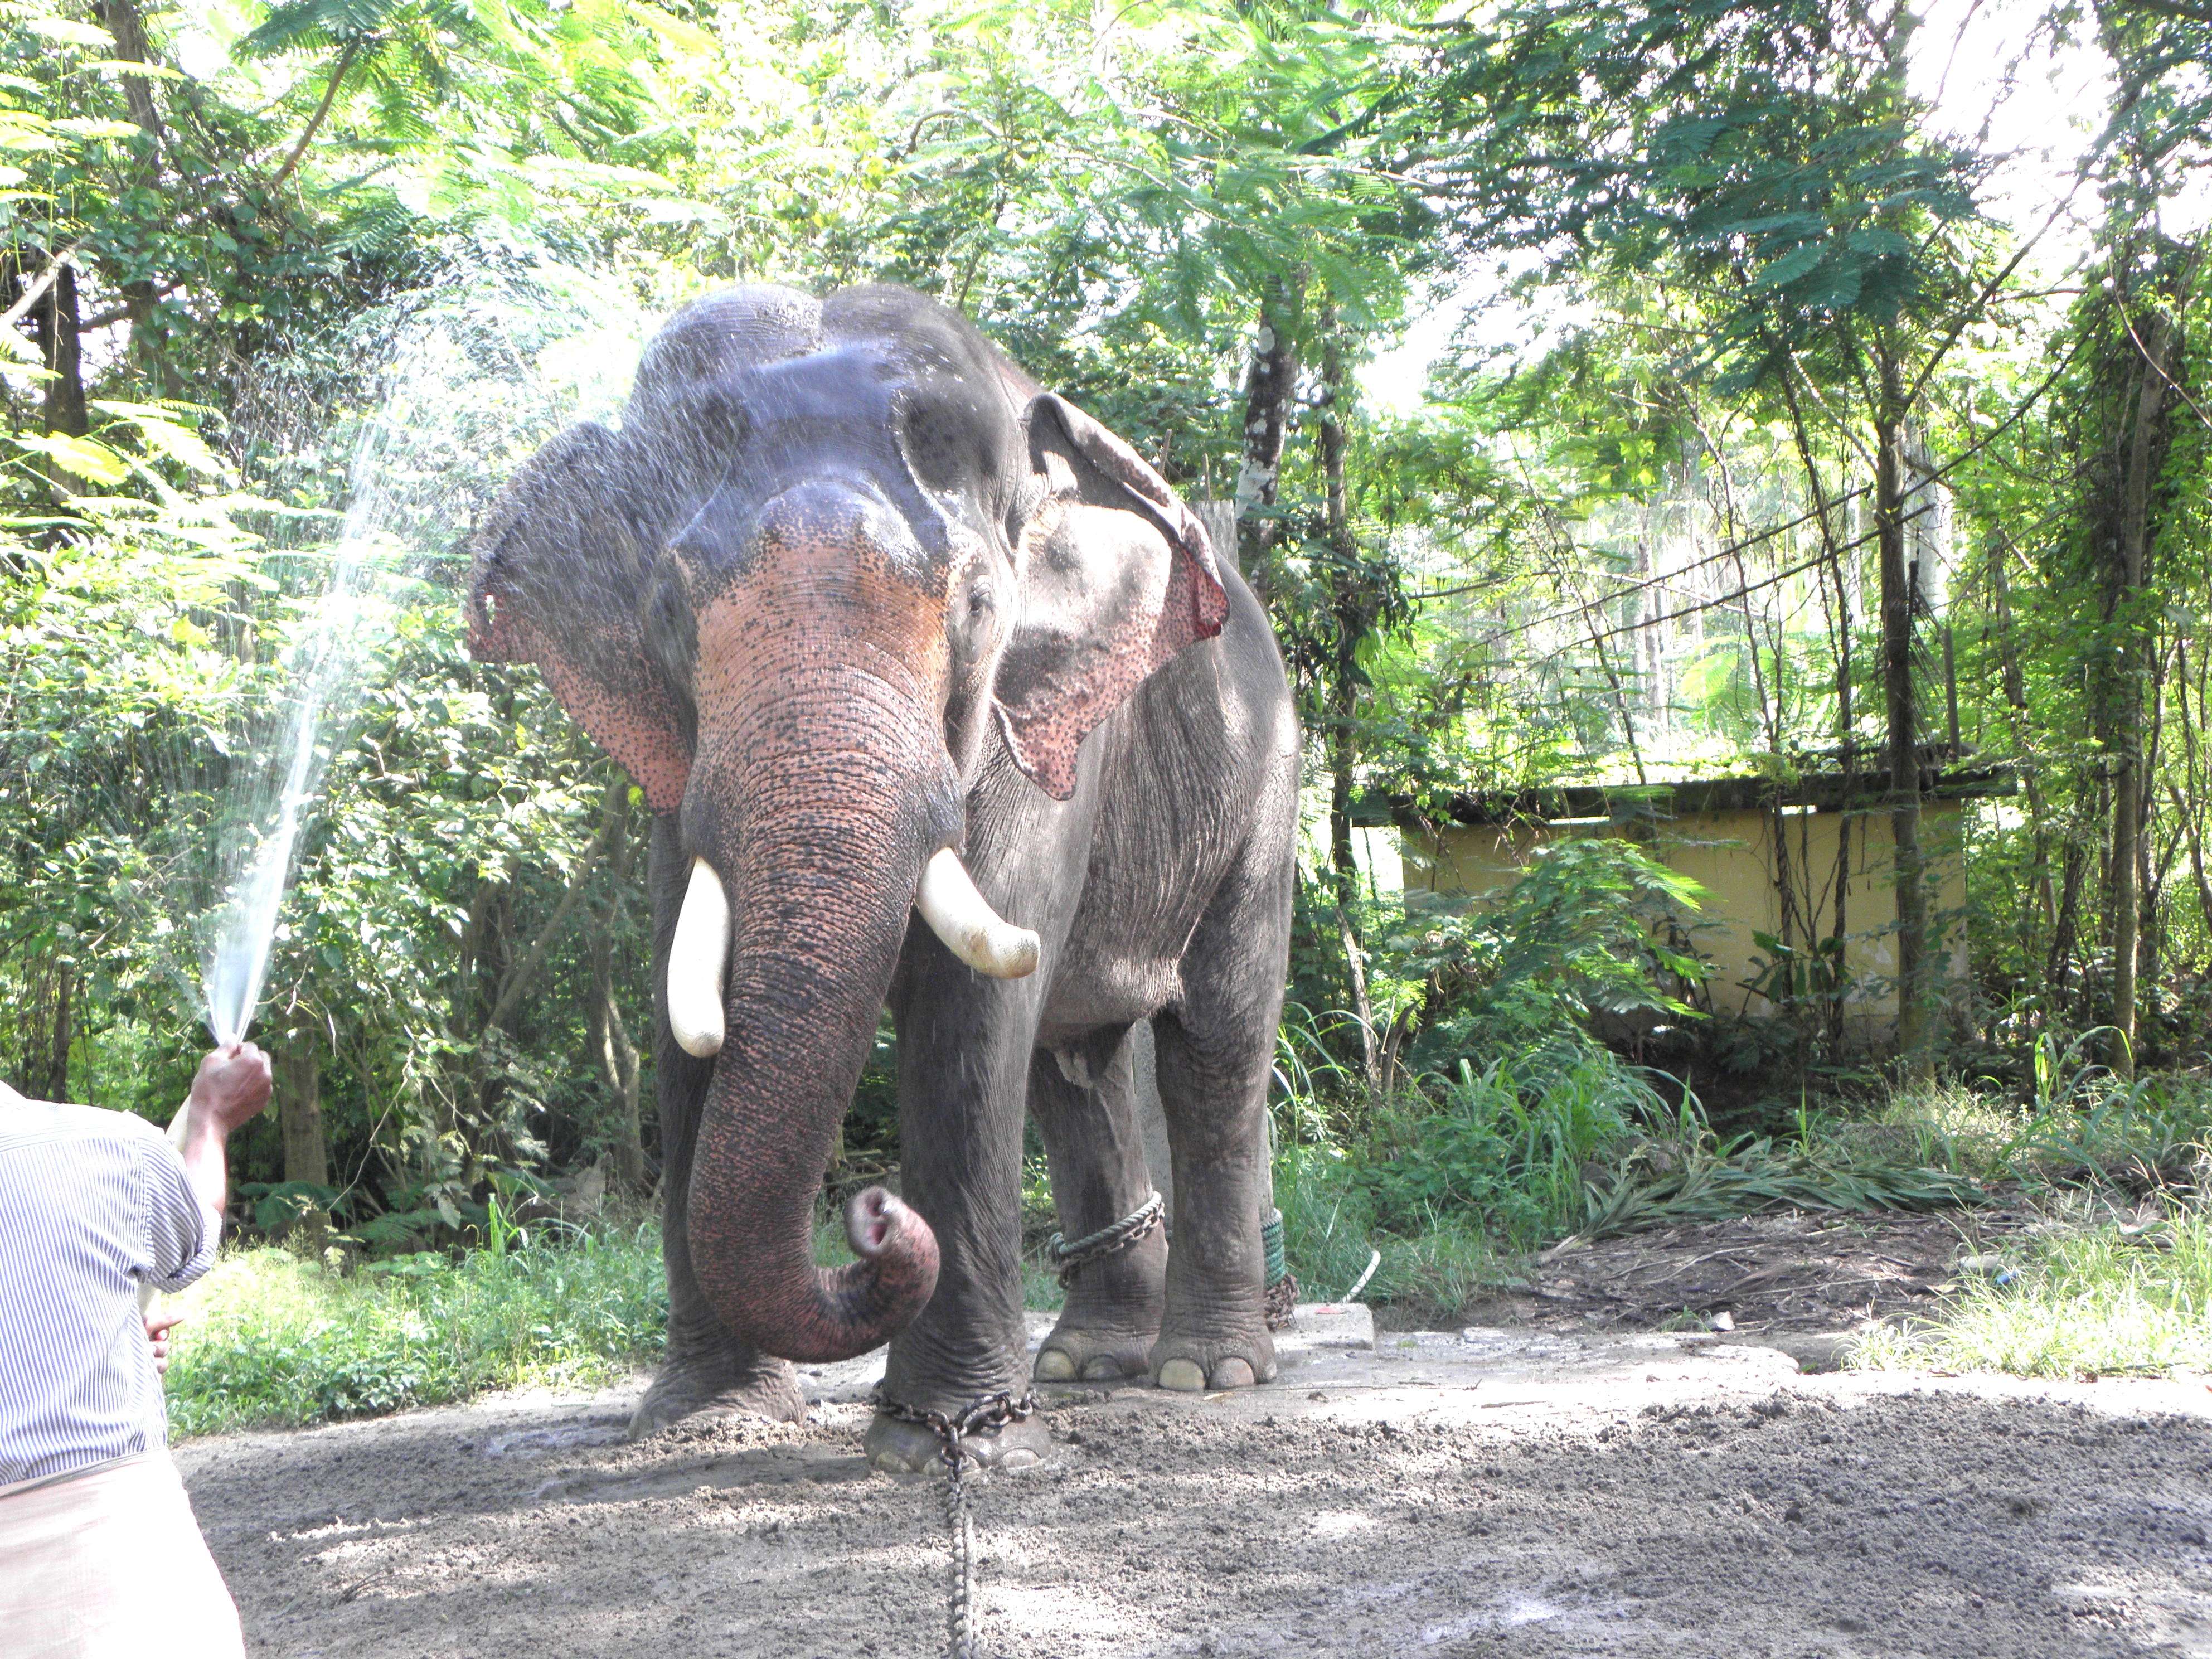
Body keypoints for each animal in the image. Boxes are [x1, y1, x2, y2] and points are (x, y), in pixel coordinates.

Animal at [466, 283, 1297, 1472]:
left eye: (977, 609)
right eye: (669, 611)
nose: (871, 1217)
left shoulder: (1039, 728)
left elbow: (970, 1013)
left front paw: (942, 1443)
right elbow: (688, 1001)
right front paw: (707, 1423)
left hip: (1263, 783)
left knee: (1214, 1043)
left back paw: (1204, 1371)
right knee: (1077, 1069)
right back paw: (1089, 1362)